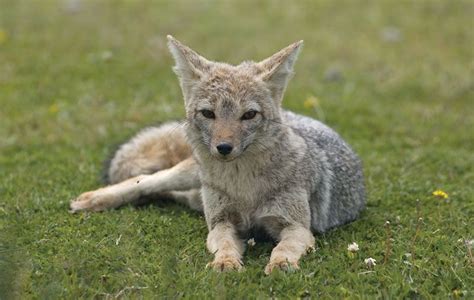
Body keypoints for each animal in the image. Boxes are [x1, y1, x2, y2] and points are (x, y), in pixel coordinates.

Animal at [70, 35, 366, 274]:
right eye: (208, 113)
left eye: (249, 115)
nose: (223, 147)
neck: (244, 187)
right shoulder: (220, 223)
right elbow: (224, 245)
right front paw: (225, 262)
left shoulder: (296, 227)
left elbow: (283, 248)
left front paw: (281, 264)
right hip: (186, 176)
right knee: (144, 181)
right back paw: (93, 200)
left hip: (193, 191)